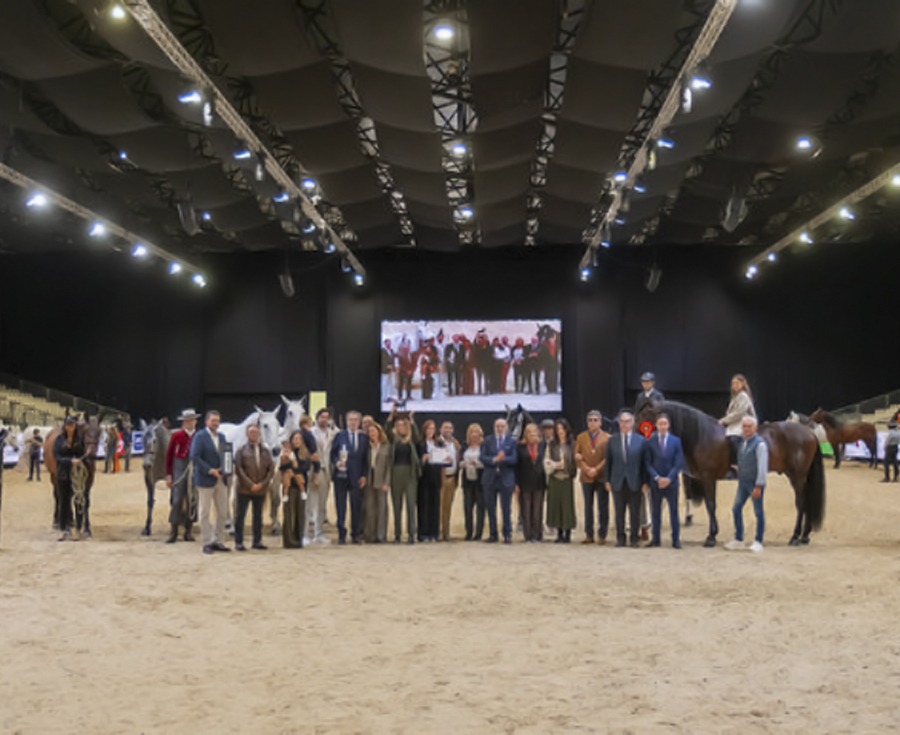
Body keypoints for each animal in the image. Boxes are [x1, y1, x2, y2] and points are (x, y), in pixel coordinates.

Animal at [636, 402, 828, 548]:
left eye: (644, 416)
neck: (702, 435)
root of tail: (809, 433)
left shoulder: (708, 478)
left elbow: (711, 505)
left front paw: (711, 537)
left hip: (797, 477)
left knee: (801, 503)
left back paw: (795, 537)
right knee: (807, 502)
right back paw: (804, 536)